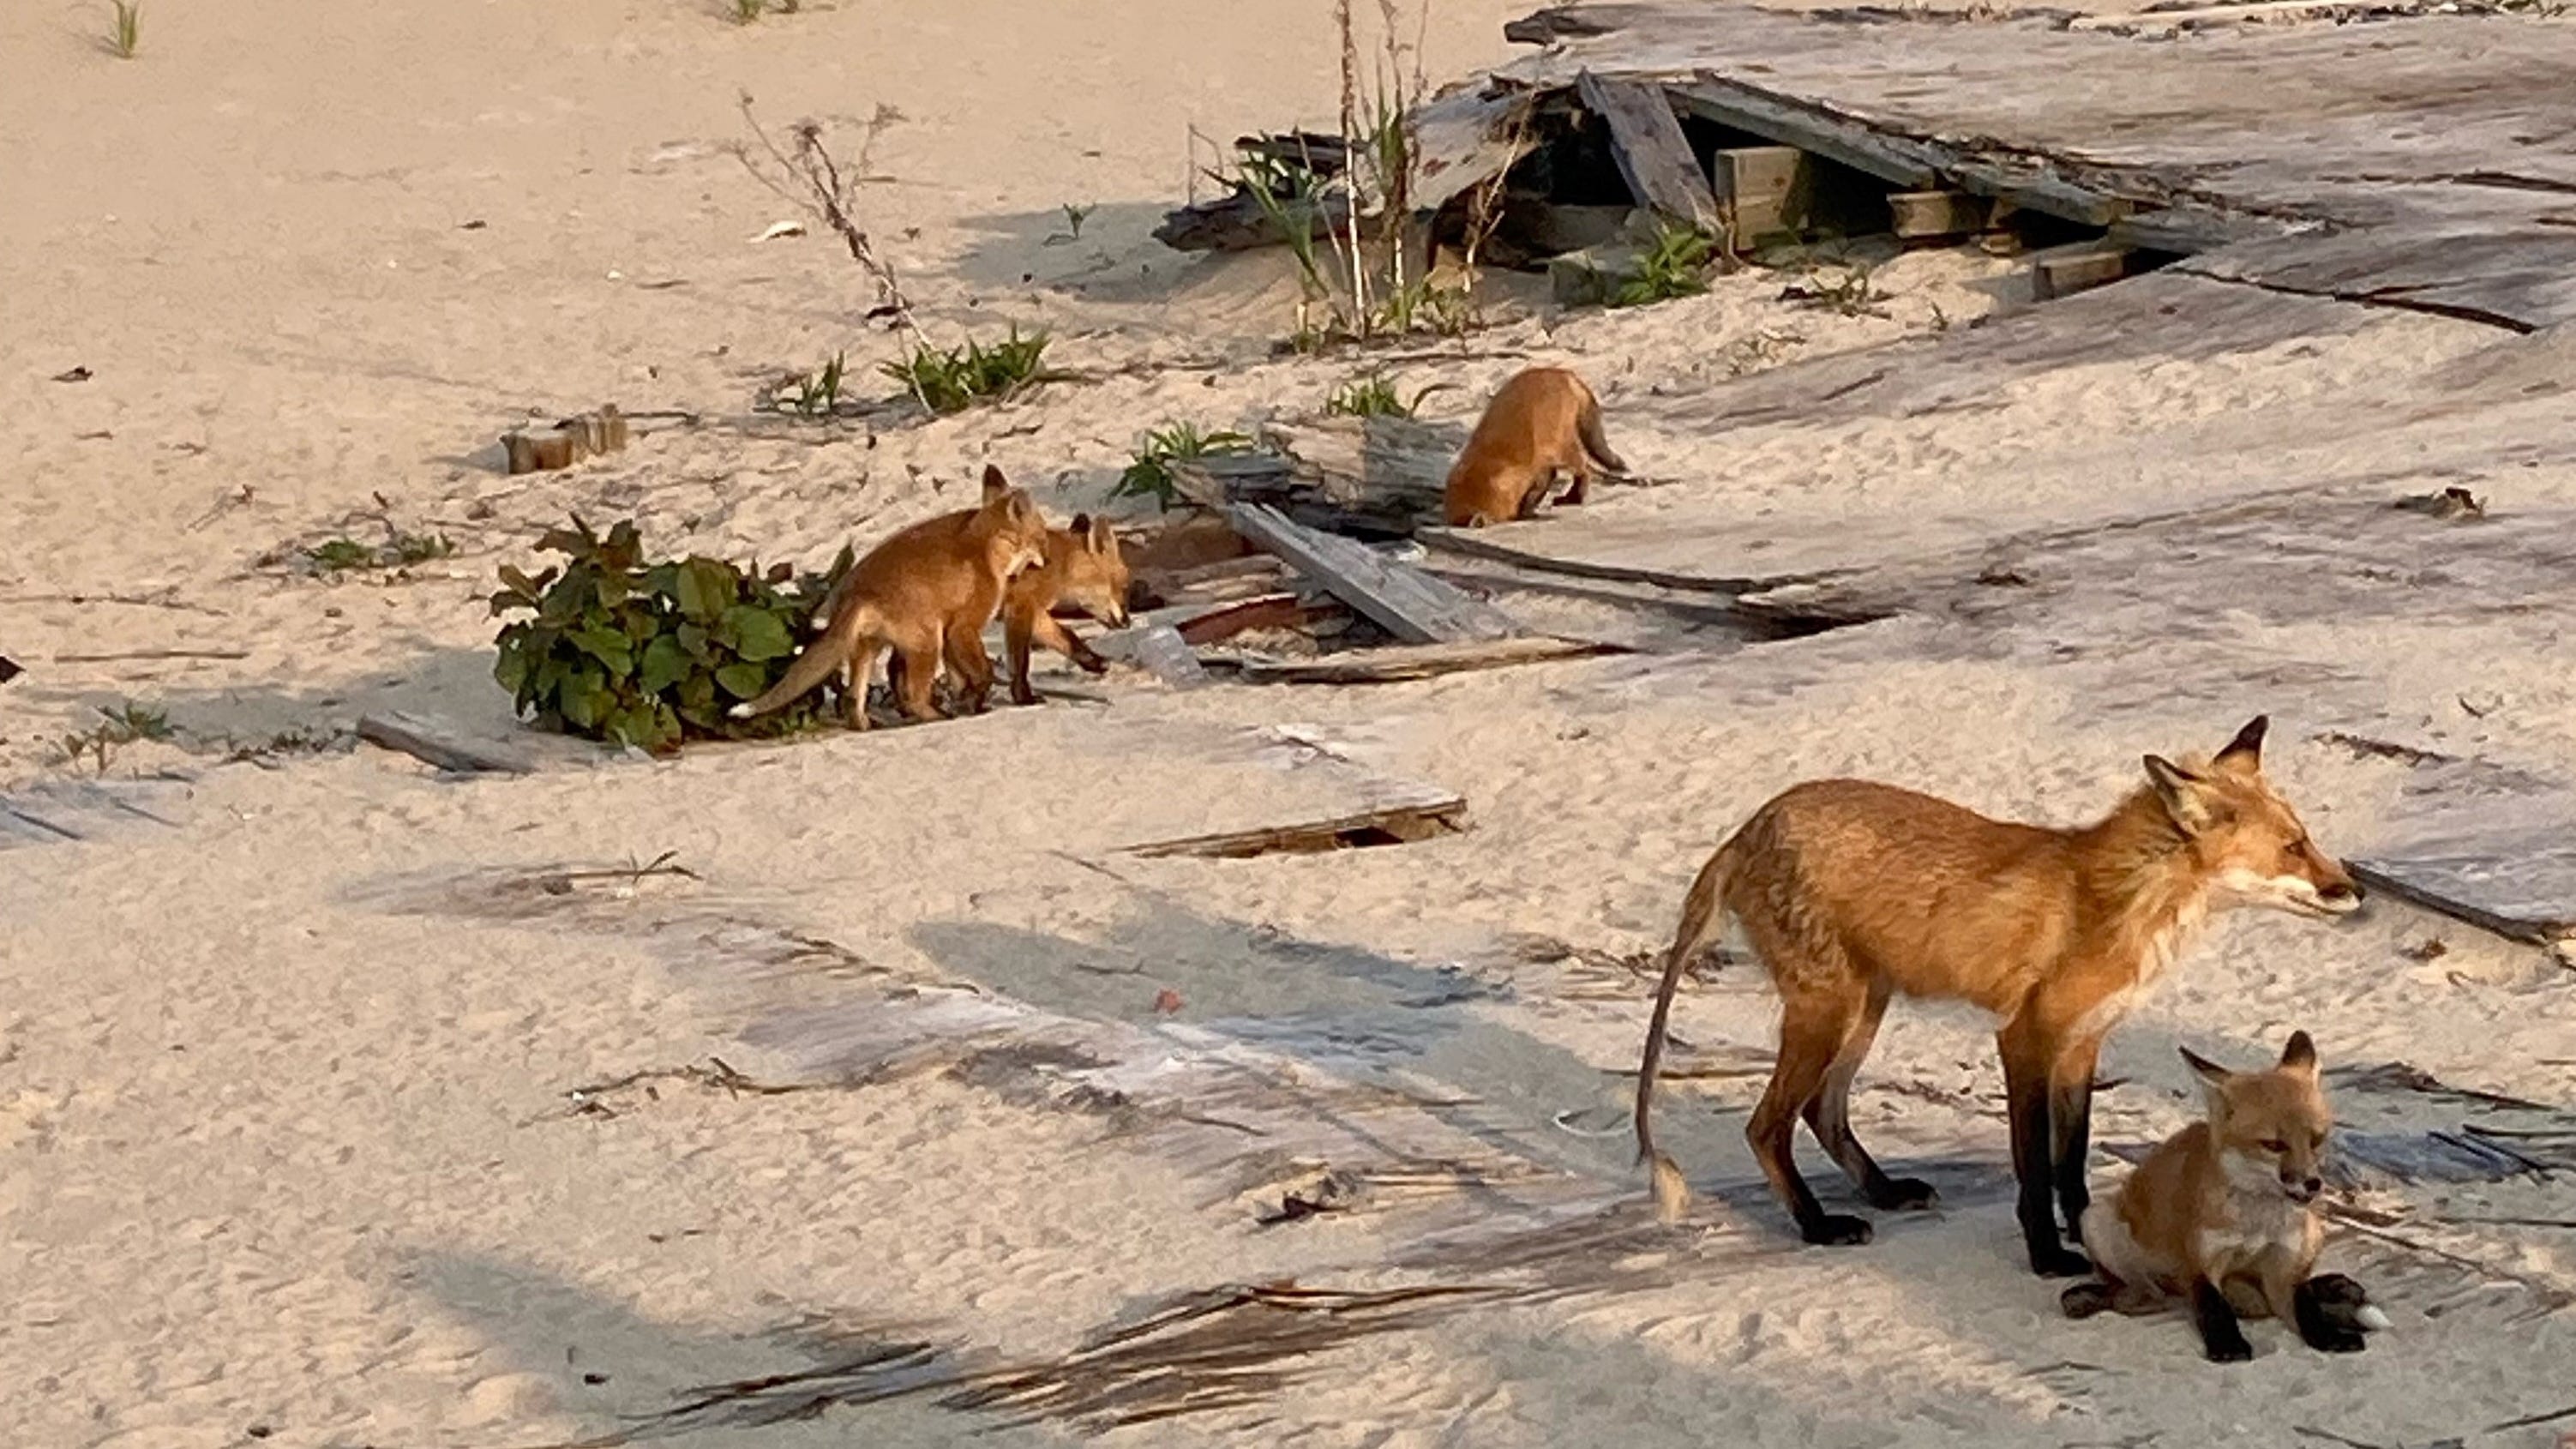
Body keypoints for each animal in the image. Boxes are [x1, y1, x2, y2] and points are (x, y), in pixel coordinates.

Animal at [728, 466, 1047, 728]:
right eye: (1043, 538)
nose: (1048, 560)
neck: (987, 546)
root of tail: (856, 592)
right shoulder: (962, 627)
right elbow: (982, 673)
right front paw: (975, 701)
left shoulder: (951, 634)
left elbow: (961, 680)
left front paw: (972, 703)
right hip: (926, 644)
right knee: (915, 697)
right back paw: (935, 716)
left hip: (868, 649)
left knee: (853, 701)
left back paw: (868, 725)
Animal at [1442, 366, 1628, 528]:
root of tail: (1564, 373)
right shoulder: (1537, 463)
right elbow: (1543, 483)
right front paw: (1528, 508)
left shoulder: (1537, 460)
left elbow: (1540, 485)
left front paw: (1526, 511)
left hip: (1564, 447)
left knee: (1583, 470)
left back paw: (1574, 498)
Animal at [1633, 716, 2364, 1277]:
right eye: (2293, 846)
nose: (2355, 890)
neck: (2112, 904)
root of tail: (1749, 826)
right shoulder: (2025, 1039)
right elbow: (2033, 1170)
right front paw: (2047, 1256)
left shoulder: (2083, 1044)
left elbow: (2071, 1162)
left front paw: (2087, 1231)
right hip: (1828, 1013)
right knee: (1766, 1126)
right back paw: (1817, 1225)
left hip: (1863, 1010)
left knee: (1822, 1111)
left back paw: (1882, 1192)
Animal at [2060, 1031, 2391, 1362]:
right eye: (2274, 1145)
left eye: (2316, 1140)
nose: (2312, 1183)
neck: (2256, 1225)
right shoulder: (2200, 1262)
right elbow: (2214, 1306)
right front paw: (2227, 1346)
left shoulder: (2283, 1271)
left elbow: (2306, 1306)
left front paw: (2326, 1336)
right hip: (2095, 1220)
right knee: (2146, 1297)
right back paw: (2095, 1299)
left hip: (2313, 1233)